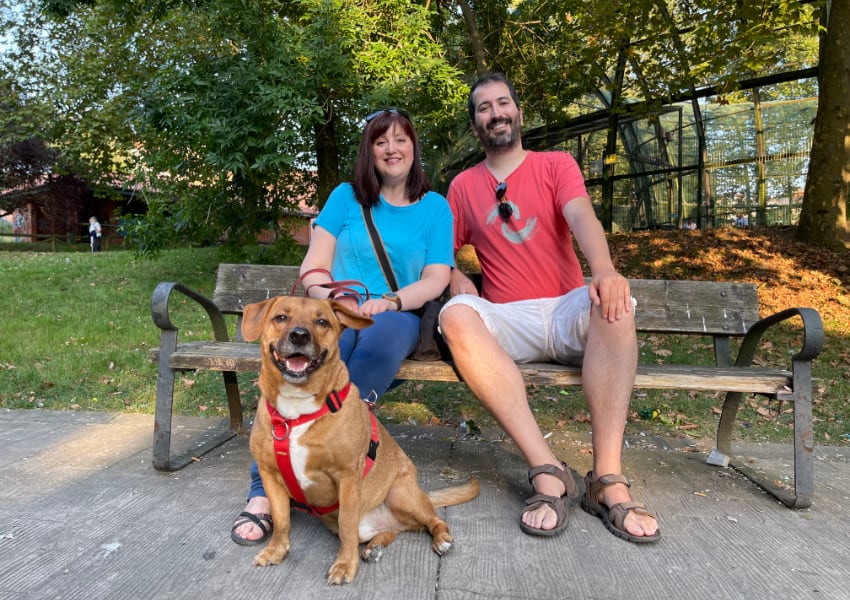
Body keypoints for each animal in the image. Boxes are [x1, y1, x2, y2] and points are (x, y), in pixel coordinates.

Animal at [242, 296, 480, 584]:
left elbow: (347, 527)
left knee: (432, 520)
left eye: (322, 321)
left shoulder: (347, 478)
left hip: (401, 494)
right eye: (280, 317)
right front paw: (276, 550)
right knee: (392, 531)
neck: (297, 411)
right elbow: (281, 520)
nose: (299, 335)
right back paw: (375, 545)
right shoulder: (270, 476)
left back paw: (441, 539)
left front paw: (345, 565)